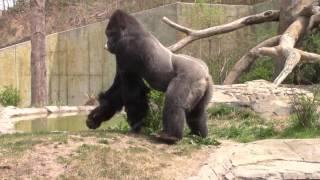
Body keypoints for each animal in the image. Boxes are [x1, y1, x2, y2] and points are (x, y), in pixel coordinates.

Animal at [86, 9, 214, 143]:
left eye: (110, 34)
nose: (107, 43)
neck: (133, 31)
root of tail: (205, 74)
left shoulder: (126, 47)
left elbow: (133, 92)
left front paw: (137, 125)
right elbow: (117, 92)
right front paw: (96, 116)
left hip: (189, 77)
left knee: (174, 101)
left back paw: (171, 136)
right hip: (205, 86)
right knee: (197, 112)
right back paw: (198, 134)